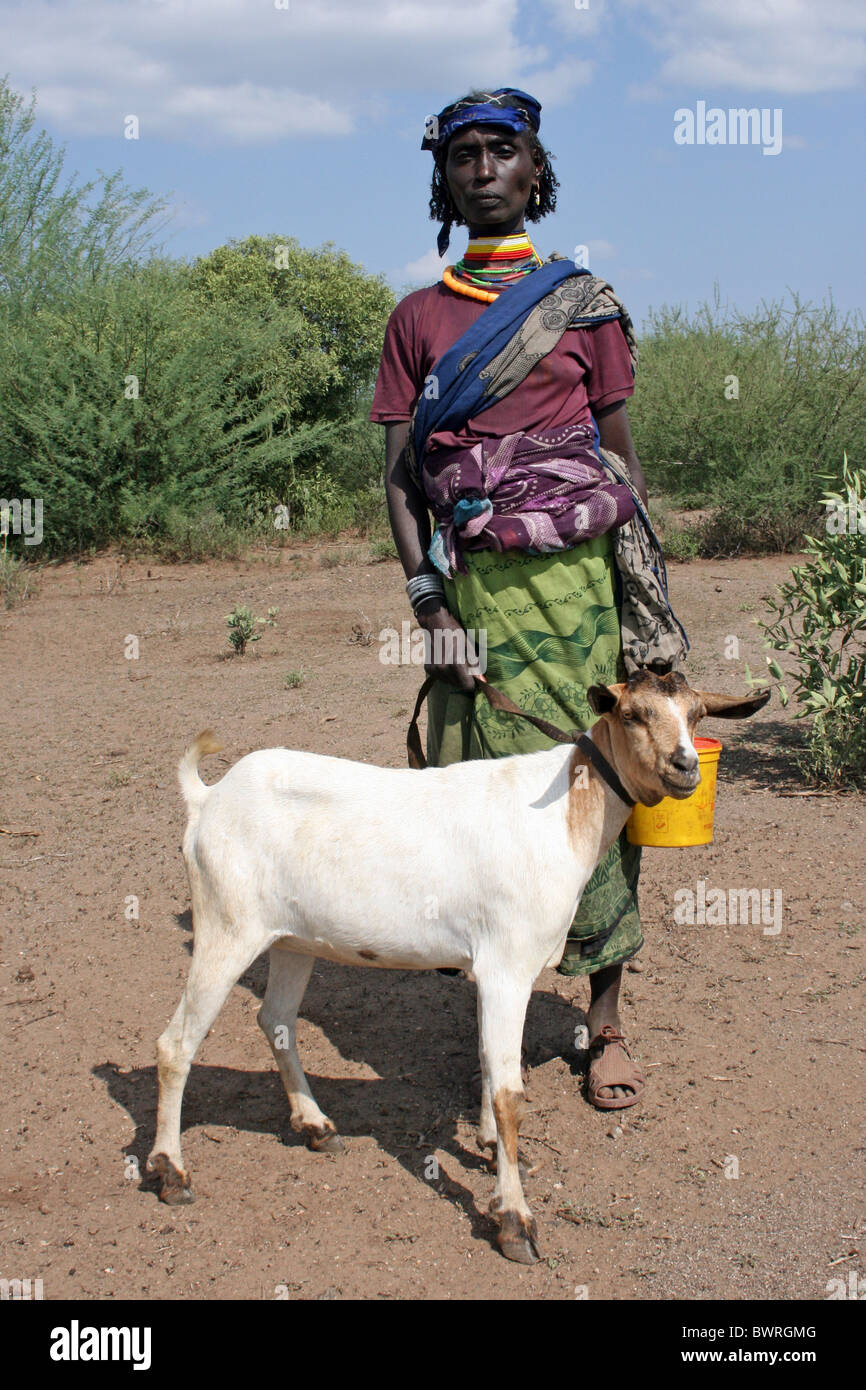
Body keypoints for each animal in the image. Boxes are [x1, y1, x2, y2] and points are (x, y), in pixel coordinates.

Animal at [147, 671, 770, 1263]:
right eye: (633, 714)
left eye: (697, 714)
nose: (685, 767)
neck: (565, 813)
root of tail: (208, 799)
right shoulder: (506, 964)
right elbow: (509, 1093)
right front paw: (515, 1222)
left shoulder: (494, 971)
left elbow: (491, 1065)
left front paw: (492, 1152)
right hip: (227, 925)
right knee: (175, 1044)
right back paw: (171, 1173)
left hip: (292, 939)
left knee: (275, 1020)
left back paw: (317, 1127)